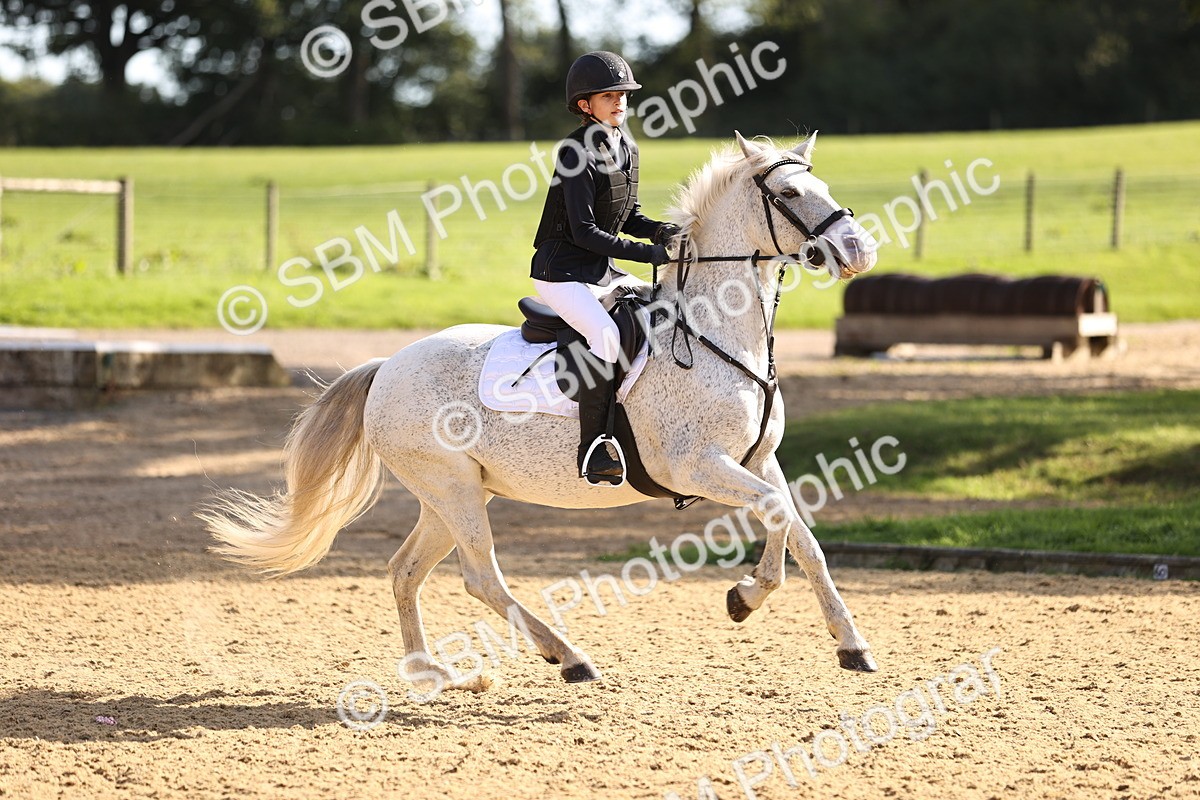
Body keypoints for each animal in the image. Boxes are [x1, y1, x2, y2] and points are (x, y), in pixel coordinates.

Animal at [200, 131, 881, 696]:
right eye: (789, 193)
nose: (858, 250)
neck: (714, 331)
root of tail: (387, 366)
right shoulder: (698, 467)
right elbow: (779, 518)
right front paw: (752, 599)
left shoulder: (758, 460)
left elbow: (801, 534)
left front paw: (833, 636)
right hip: (453, 490)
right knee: (480, 576)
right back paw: (568, 657)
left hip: (451, 494)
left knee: (405, 571)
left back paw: (432, 675)